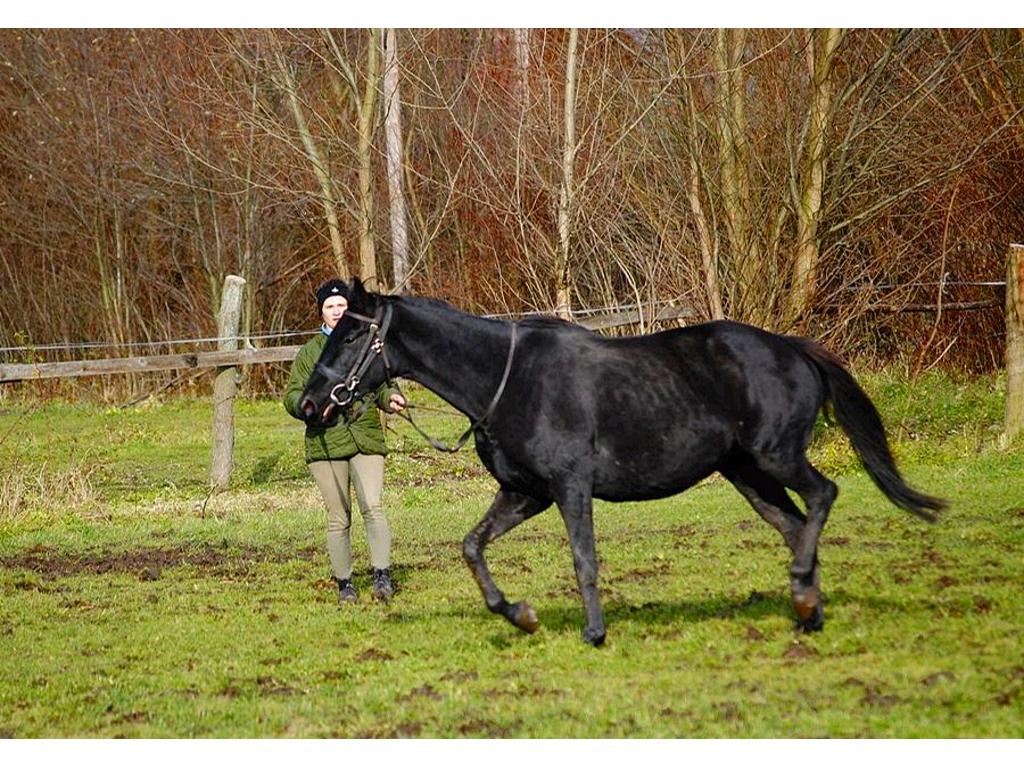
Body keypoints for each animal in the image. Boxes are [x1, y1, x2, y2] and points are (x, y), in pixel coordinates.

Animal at [299, 280, 946, 647]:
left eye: (349, 338)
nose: (309, 404)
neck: (509, 380)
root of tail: (793, 349)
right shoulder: (525, 493)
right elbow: (472, 547)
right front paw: (520, 615)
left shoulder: (570, 488)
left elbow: (583, 559)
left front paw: (594, 632)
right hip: (747, 474)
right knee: (794, 525)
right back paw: (807, 609)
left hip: (776, 456)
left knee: (822, 497)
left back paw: (807, 599)